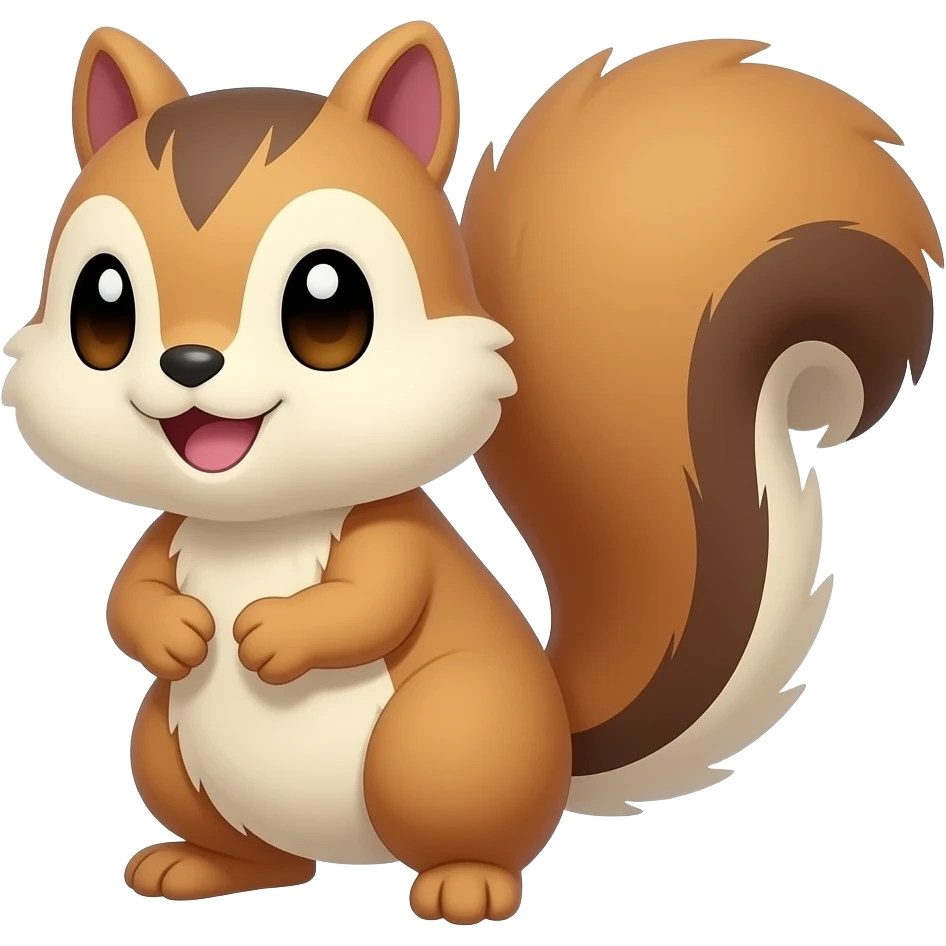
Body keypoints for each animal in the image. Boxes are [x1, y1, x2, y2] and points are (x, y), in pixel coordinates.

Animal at [1, 21, 940, 925]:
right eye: (102, 306)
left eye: (326, 304)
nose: (189, 362)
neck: (262, 523)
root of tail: (559, 739)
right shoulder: (170, 535)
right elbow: (129, 594)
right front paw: (177, 631)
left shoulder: (394, 539)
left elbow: (371, 602)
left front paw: (272, 634)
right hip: (165, 747)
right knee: (268, 857)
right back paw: (201, 867)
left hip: (443, 739)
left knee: (464, 836)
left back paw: (466, 890)